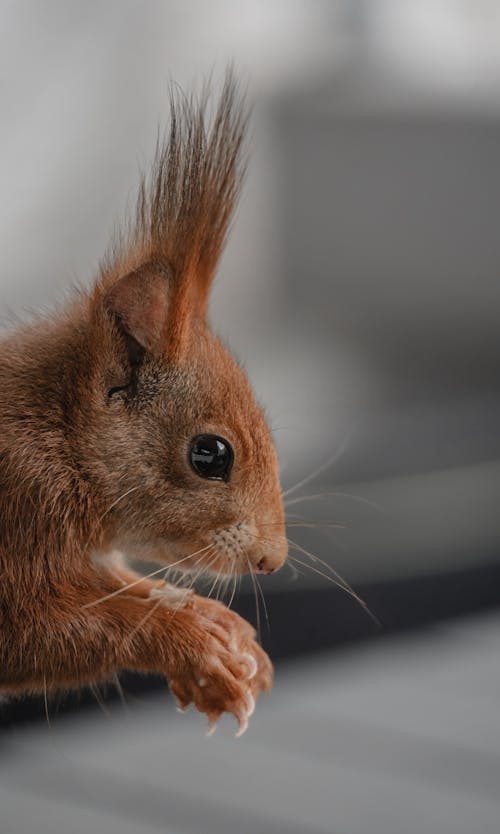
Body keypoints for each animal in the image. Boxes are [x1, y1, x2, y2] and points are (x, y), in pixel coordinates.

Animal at [0, 71, 288, 736]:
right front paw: (191, 645)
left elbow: (123, 585)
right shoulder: (19, 507)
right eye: (210, 455)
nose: (273, 559)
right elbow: (42, 631)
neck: (59, 436)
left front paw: (218, 624)